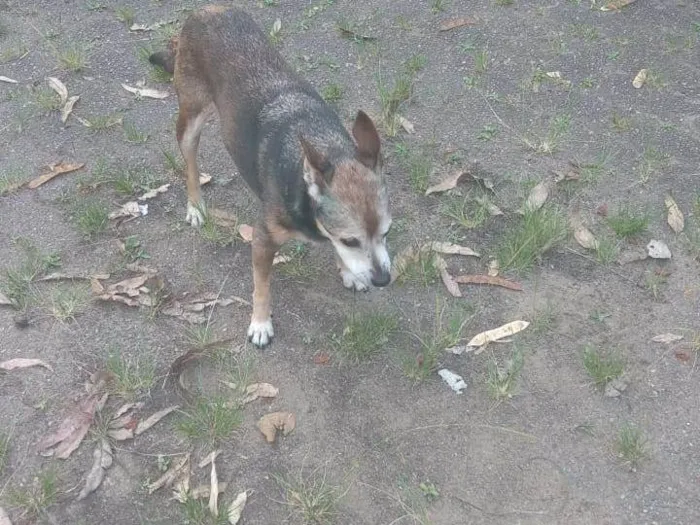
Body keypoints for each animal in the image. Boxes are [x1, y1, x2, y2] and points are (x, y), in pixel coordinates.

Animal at [150, 6, 392, 348]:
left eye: (386, 232)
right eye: (351, 240)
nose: (384, 279)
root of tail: (205, 10)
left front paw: (347, 271)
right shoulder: (262, 239)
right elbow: (262, 288)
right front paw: (261, 324)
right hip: (191, 116)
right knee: (191, 164)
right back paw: (195, 206)